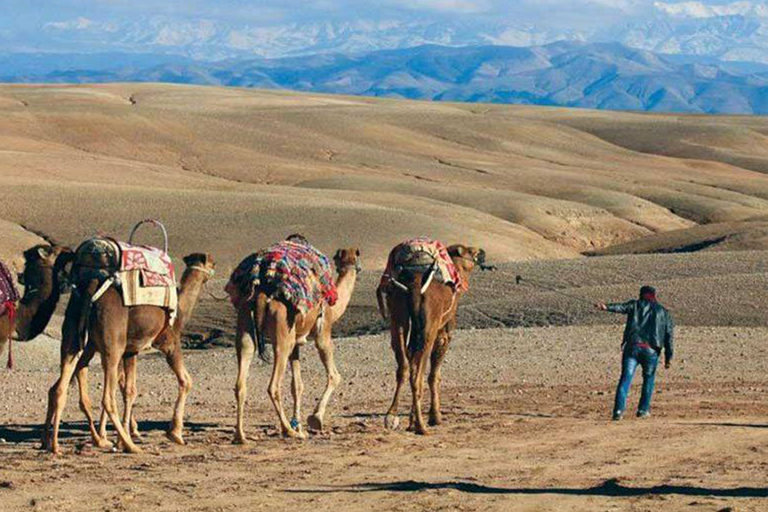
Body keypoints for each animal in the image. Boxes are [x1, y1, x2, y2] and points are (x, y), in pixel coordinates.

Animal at [43, 250, 214, 454]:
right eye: (211, 263)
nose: (214, 271)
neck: (179, 311)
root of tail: (91, 288)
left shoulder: (131, 351)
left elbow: (130, 391)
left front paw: (121, 437)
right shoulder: (169, 342)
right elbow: (185, 381)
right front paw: (175, 434)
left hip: (74, 340)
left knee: (60, 387)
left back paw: (54, 444)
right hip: (111, 346)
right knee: (106, 398)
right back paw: (129, 446)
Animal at [230, 246, 362, 442]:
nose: (357, 267)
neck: (334, 307)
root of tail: (260, 296)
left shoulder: (296, 344)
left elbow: (297, 386)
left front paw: (299, 425)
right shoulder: (323, 333)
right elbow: (334, 376)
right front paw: (315, 419)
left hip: (245, 324)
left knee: (241, 381)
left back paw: (241, 436)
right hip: (282, 336)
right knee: (273, 386)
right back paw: (288, 431)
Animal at [380, 244, 486, 436]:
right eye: (470, 251)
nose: (482, 252)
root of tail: (415, 285)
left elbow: (413, 364)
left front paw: (411, 421)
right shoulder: (444, 330)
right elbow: (434, 375)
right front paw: (435, 417)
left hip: (398, 318)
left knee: (404, 367)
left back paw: (392, 416)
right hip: (429, 326)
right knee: (418, 375)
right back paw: (421, 427)